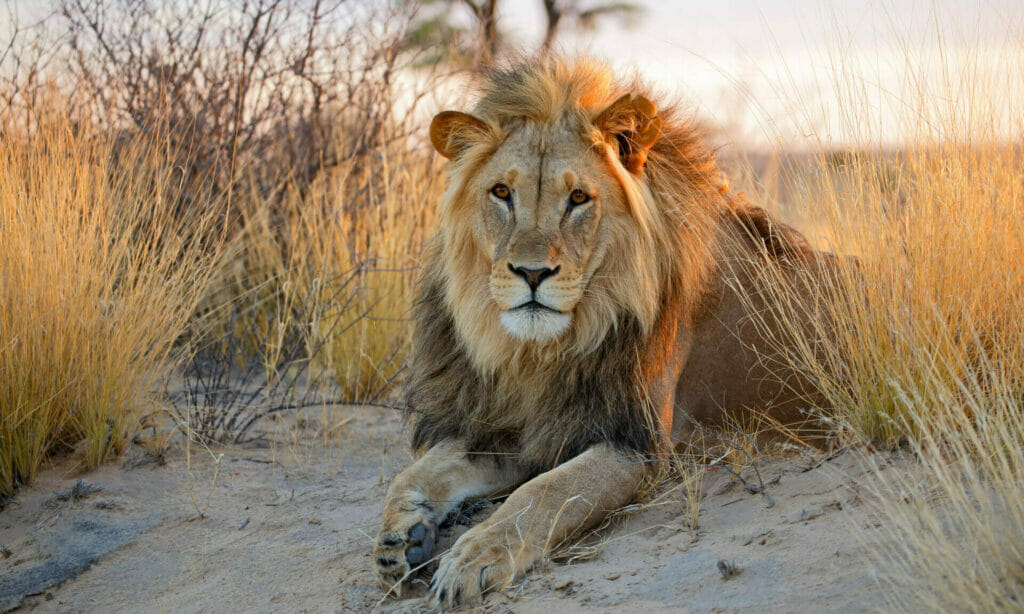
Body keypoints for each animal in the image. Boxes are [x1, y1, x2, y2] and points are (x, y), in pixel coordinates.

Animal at [374, 59, 833, 609]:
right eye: (502, 193)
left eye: (578, 198)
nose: (531, 273)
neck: (542, 353)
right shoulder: (526, 426)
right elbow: (418, 471)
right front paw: (401, 535)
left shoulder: (638, 444)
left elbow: (543, 493)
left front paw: (474, 557)